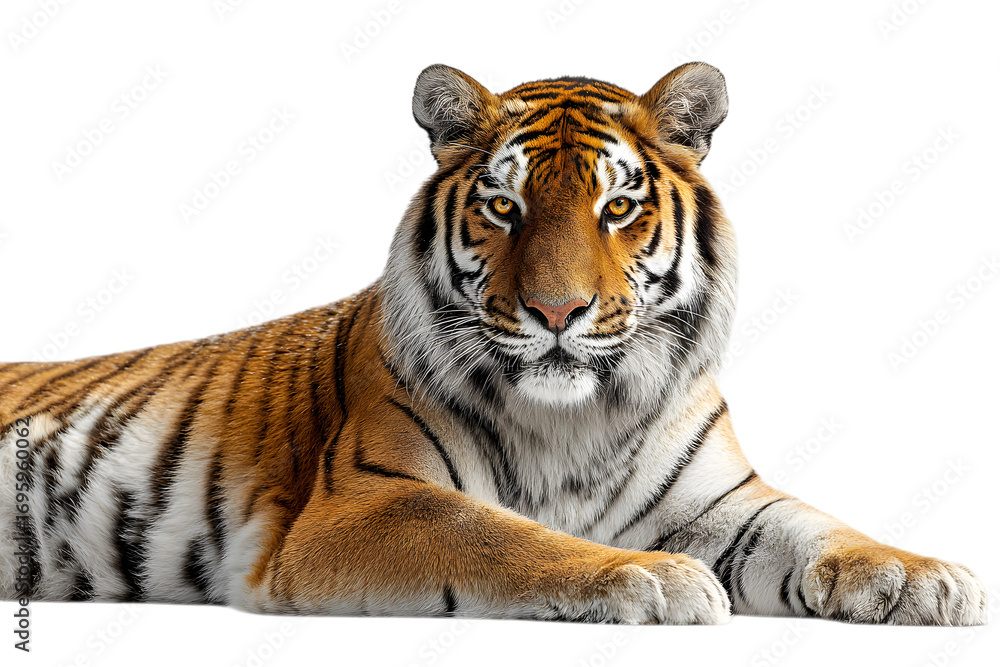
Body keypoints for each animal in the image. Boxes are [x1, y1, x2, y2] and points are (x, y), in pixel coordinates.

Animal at [0, 62, 986, 625]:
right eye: (504, 206)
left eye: (616, 207)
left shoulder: (723, 499)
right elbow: (498, 534)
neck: (577, 420)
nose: (558, 311)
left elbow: (820, 526)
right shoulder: (364, 499)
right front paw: (652, 576)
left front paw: (928, 577)